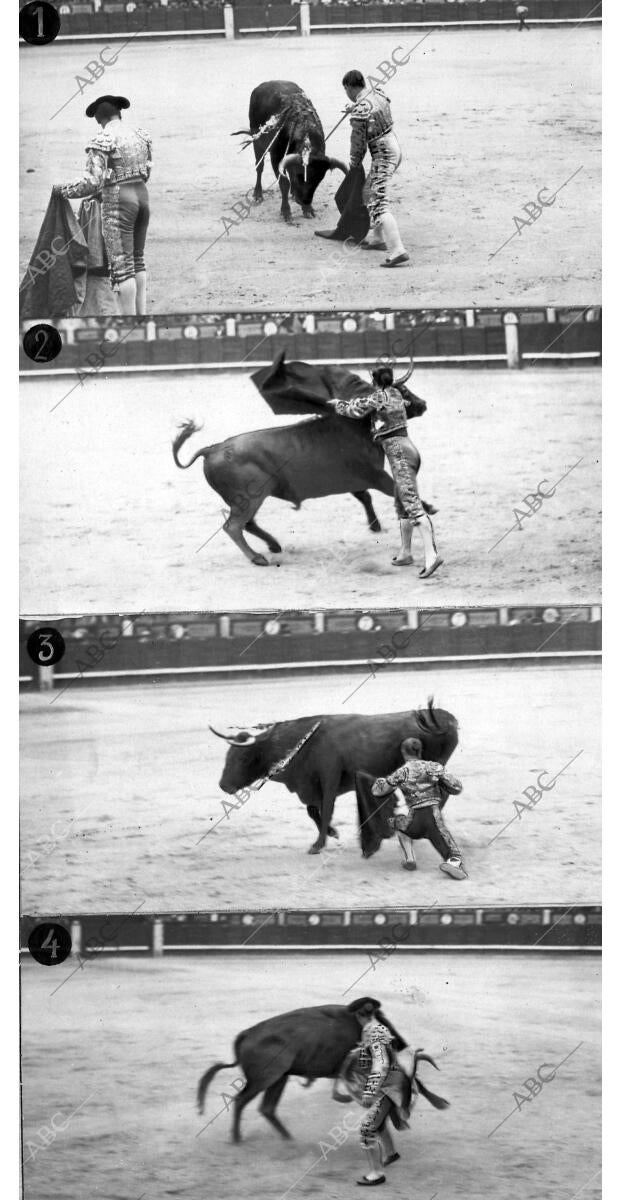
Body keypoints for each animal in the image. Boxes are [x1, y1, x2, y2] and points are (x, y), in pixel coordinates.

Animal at [195, 1003, 446, 1142]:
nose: (400, 1042)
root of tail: (246, 1034)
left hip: (279, 1079)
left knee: (267, 1108)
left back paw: (288, 1138)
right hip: (264, 1079)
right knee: (241, 1101)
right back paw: (237, 1138)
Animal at [209, 700, 455, 859]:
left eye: (243, 757)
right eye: (227, 756)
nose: (223, 785)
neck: (304, 745)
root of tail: (447, 719)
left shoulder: (329, 780)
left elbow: (326, 809)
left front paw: (318, 845)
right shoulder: (310, 786)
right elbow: (312, 811)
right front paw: (331, 832)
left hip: (437, 764)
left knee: (441, 795)